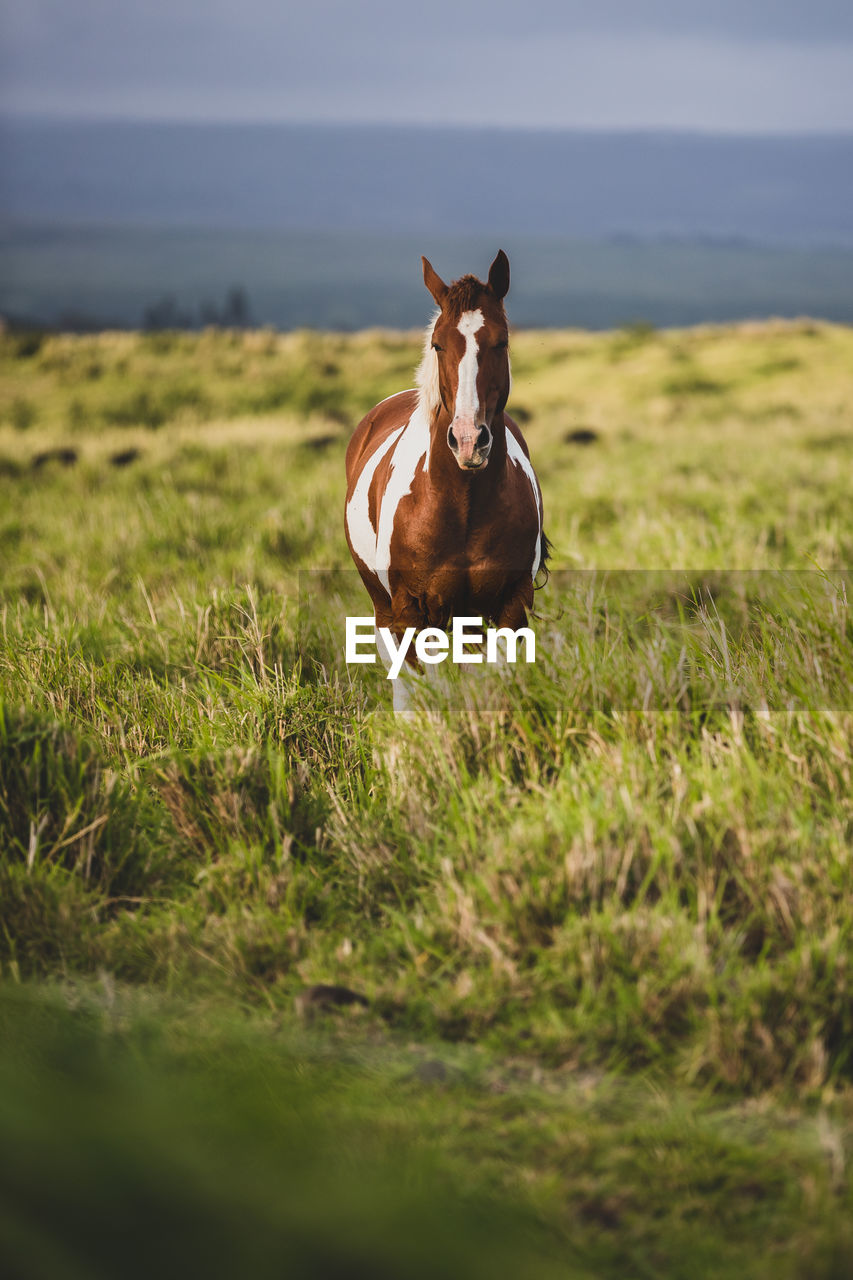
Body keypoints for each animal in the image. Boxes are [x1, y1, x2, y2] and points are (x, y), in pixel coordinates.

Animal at [343, 248, 545, 711]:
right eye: (438, 343)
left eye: (501, 342)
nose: (469, 440)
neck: (462, 508)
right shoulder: (410, 610)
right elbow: (420, 688)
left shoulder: (510, 604)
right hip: (384, 606)